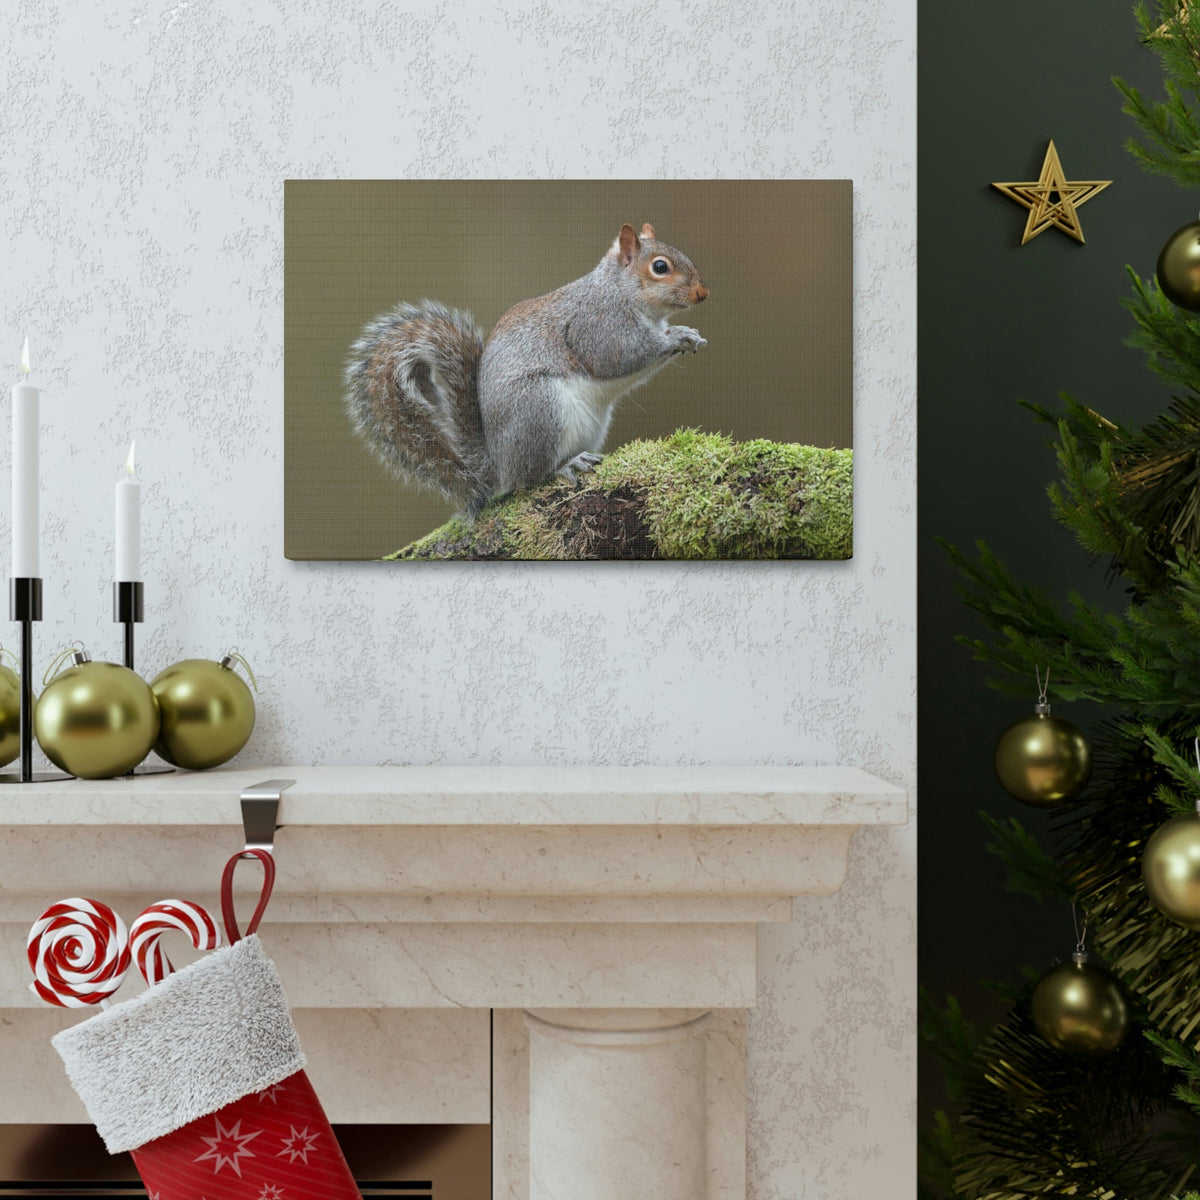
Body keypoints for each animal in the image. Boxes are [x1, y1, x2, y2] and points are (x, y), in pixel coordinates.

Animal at [344, 222, 708, 515]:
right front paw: (677, 336)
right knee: (530, 478)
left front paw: (689, 335)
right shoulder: (596, 324)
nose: (702, 293)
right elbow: (618, 356)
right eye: (660, 267)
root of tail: (498, 463)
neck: (619, 290)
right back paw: (565, 466)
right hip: (539, 409)